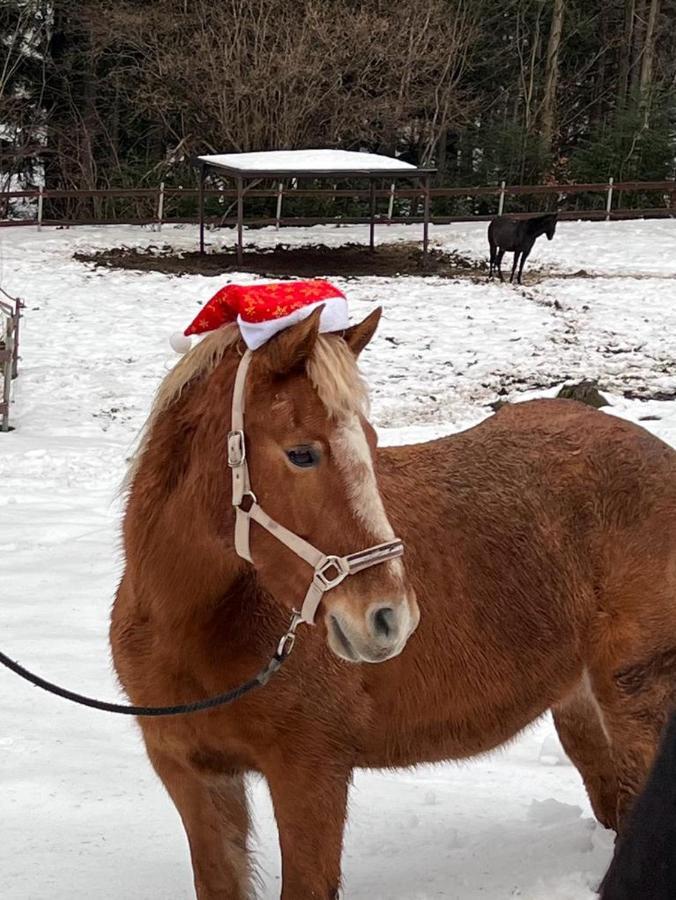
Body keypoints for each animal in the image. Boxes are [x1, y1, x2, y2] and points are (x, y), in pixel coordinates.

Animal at [111, 306, 676, 896]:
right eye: (301, 453)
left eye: (372, 440)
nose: (389, 618)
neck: (188, 628)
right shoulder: (192, 775)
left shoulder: (310, 775)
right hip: (580, 704)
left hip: (636, 695)